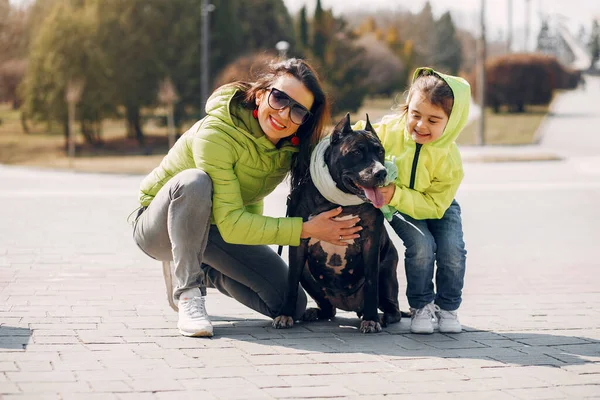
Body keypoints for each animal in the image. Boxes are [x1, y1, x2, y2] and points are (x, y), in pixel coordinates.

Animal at [274, 113, 406, 334]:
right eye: (356, 152)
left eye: (380, 151)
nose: (381, 172)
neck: (340, 201)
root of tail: (349, 305)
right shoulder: (299, 243)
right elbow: (291, 281)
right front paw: (285, 315)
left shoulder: (371, 243)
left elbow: (371, 283)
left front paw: (371, 319)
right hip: (308, 276)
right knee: (329, 309)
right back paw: (315, 312)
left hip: (387, 270)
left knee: (393, 308)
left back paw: (379, 315)